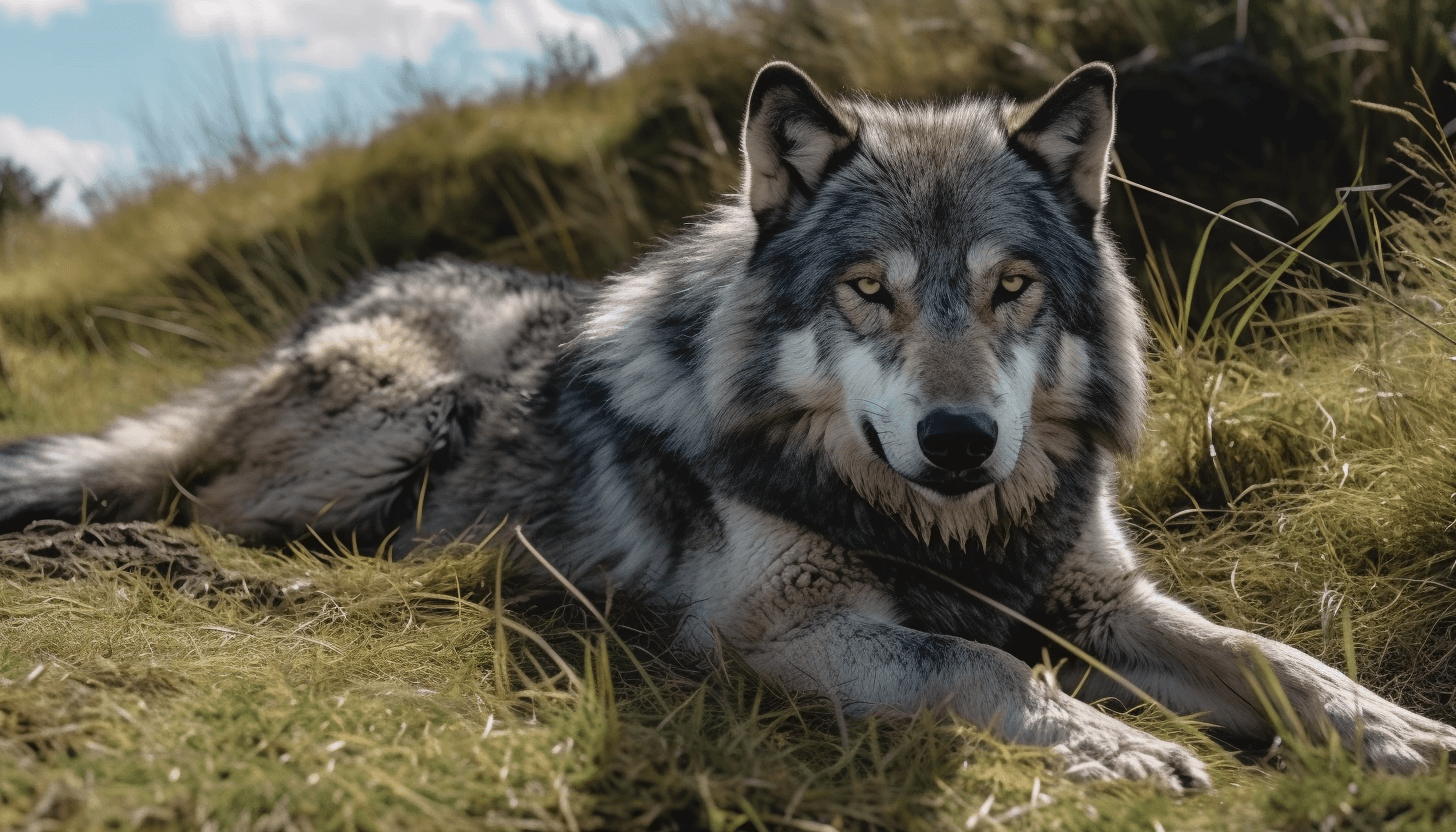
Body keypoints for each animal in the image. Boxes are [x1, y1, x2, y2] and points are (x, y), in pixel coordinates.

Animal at [3, 62, 1453, 791]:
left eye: (1011, 287)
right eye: (869, 289)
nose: (960, 440)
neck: (941, 529)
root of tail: (341, 295)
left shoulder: (1099, 597)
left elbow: (1271, 657)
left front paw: (1395, 732)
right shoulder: (779, 626)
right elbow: (981, 669)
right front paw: (1119, 746)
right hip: (410, 417)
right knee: (204, 503)